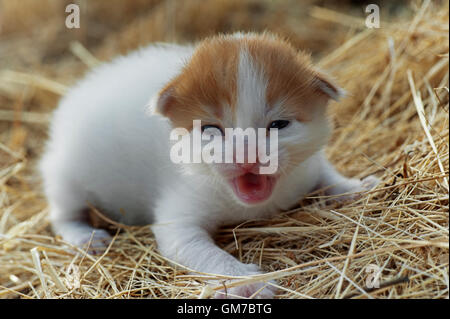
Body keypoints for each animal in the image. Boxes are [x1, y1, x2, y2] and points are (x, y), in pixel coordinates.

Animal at [39, 31, 380, 298]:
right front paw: (246, 281)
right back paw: (84, 236)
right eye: (211, 129)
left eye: (279, 124)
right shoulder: (179, 217)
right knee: (62, 213)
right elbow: (197, 248)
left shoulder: (305, 167)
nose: (247, 157)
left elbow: (325, 171)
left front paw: (355, 186)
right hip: (66, 171)